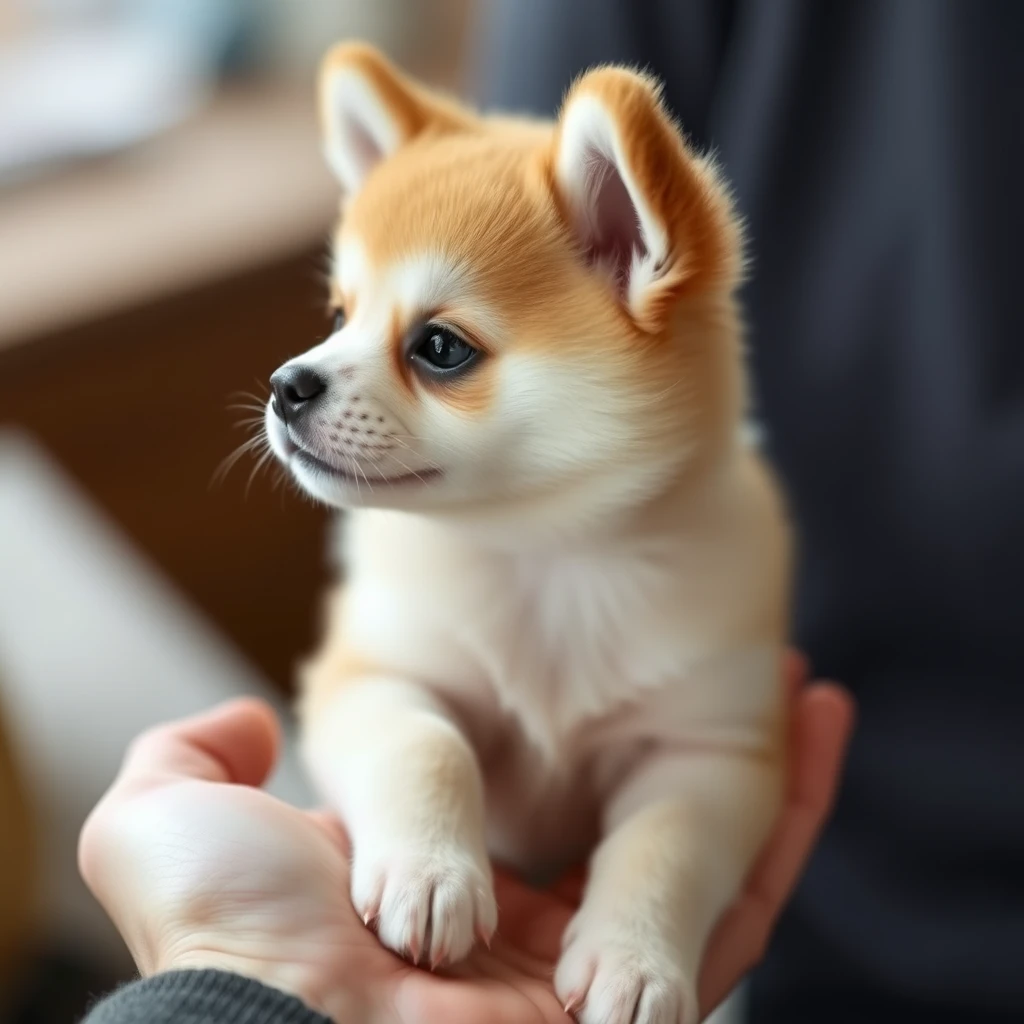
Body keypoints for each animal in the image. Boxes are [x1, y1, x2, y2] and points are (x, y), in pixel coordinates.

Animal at [264, 41, 790, 1024]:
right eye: (339, 317)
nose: (287, 384)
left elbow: (665, 842)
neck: (551, 561)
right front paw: (431, 873)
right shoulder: (374, 672)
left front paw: (635, 958)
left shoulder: (712, 750)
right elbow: (426, 746)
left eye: (440, 349)